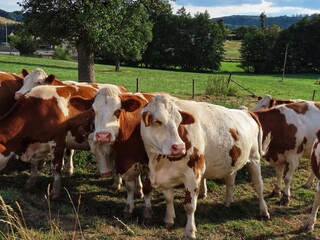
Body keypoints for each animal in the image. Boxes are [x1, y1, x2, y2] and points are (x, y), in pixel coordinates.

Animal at [140, 94, 270, 238]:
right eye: (158, 121)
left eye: (179, 121)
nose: (179, 147)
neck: (158, 162)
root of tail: (246, 112)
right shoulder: (166, 176)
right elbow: (168, 198)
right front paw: (169, 220)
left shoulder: (194, 173)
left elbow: (190, 206)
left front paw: (190, 231)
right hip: (233, 161)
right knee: (230, 180)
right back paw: (228, 201)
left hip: (254, 158)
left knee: (258, 185)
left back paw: (264, 211)